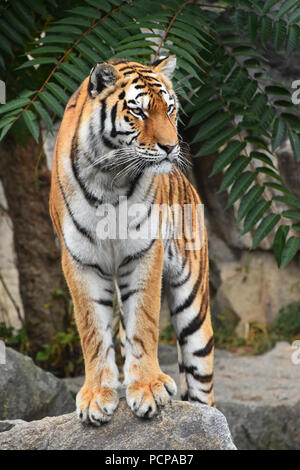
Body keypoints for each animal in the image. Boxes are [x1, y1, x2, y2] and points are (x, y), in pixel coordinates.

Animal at [50, 56, 216, 426]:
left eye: (170, 109)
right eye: (138, 112)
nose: (171, 147)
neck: (110, 177)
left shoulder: (143, 252)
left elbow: (144, 320)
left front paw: (149, 388)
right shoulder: (80, 259)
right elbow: (93, 330)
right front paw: (96, 396)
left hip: (194, 304)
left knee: (202, 385)